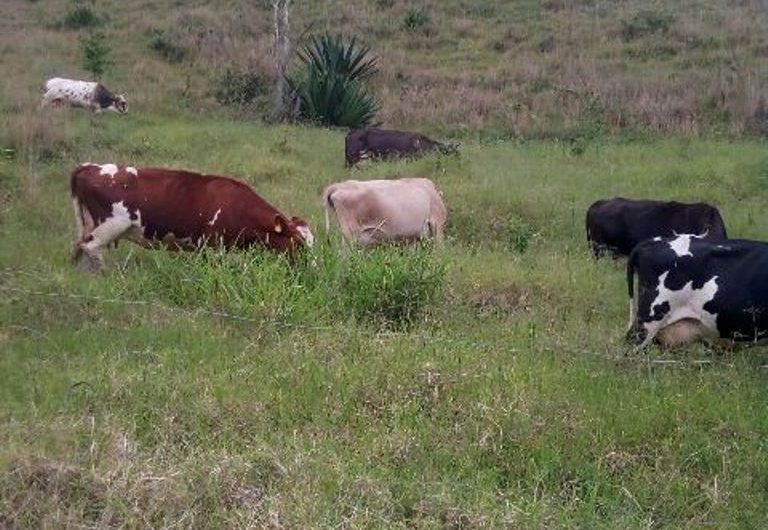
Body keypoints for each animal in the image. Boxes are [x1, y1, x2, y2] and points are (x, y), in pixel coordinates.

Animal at [69, 162, 314, 268]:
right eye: (299, 243)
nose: (313, 267)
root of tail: (89, 167)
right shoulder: (213, 246)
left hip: (86, 223)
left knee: (79, 248)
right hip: (109, 225)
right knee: (91, 247)